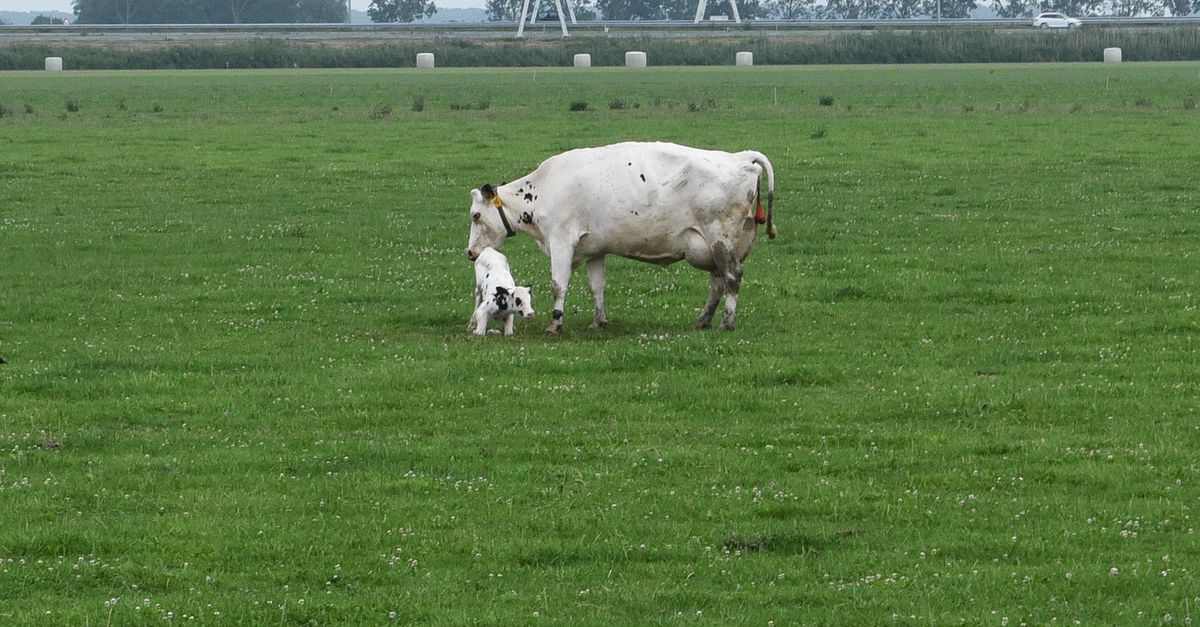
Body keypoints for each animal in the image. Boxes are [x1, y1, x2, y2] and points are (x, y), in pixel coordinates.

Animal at [465, 141, 776, 335]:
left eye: (476, 216)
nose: (470, 253)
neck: (542, 188)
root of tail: (740, 157)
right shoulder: (594, 250)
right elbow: (597, 287)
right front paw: (598, 320)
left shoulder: (562, 241)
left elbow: (558, 285)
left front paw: (555, 324)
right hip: (714, 248)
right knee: (718, 283)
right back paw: (703, 321)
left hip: (721, 240)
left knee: (732, 278)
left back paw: (727, 322)